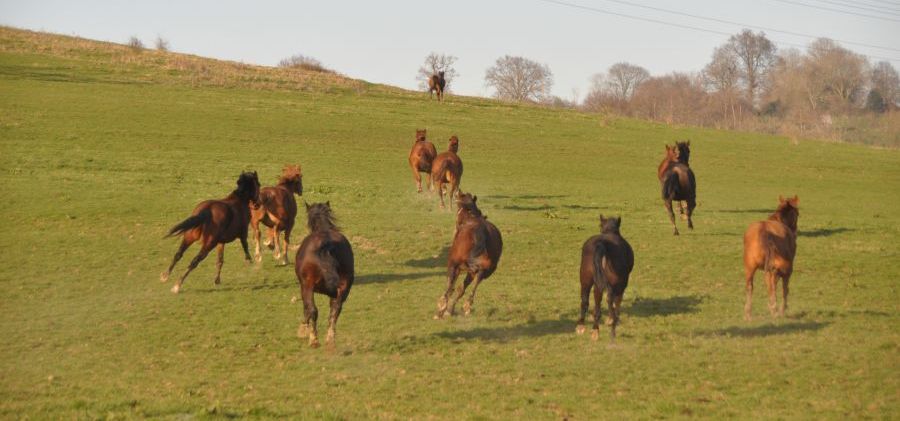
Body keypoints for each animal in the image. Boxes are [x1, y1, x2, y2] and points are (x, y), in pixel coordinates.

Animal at [294, 202, 354, 346]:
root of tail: (327, 244)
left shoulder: (304, 286)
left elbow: (307, 308)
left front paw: (303, 330)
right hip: (344, 286)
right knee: (336, 309)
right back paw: (330, 338)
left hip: (308, 286)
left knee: (313, 310)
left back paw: (314, 339)